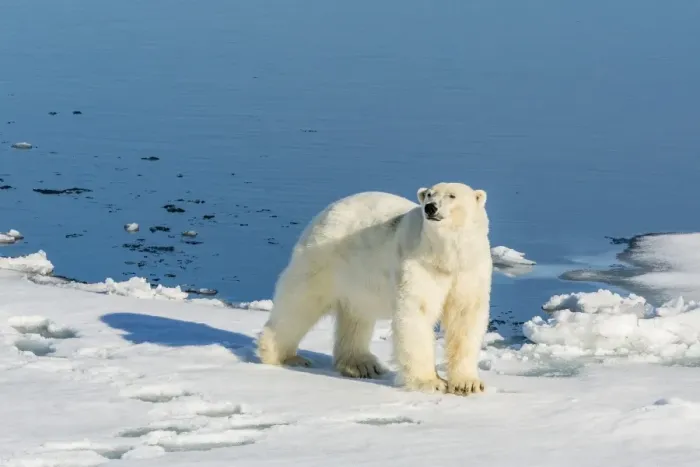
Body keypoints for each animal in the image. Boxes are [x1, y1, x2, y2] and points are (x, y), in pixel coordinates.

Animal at [256, 182, 492, 395]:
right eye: (429, 195)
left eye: (452, 195)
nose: (430, 208)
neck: (446, 256)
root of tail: (327, 210)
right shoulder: (420, 264)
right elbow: (418, 311)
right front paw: (430, 383)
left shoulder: (469, 270)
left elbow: (465, 317)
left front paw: (468, 384)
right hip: (325, 258)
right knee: (301, 302)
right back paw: (284, 355)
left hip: (358, 277)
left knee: (356, 315)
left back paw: (361, 364)